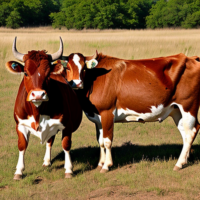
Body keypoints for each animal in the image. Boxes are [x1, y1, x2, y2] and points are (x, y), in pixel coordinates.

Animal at [5, 37, 82, 180]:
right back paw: (46, 161)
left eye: (48, 74)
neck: (38, 111)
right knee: (49, 140)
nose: (38, 94)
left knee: (50, 140)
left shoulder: (66, 124)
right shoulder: (20, 124)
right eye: (26, 72)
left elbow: (66, 144)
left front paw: (69, 169)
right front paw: (18, 171)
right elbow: (22, 145)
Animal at [55, 51, 200, 173]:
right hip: (176, 110)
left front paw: (106, 165)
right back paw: (185, 159)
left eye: (84, 68)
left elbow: (107, 141)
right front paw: (100, 163)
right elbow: (100, 140)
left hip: (188, 106)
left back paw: (179, 163)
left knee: (191, 132)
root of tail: (190, 58)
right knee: (186, 133)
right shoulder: (98, 118)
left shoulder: (107, 113)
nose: (77, 83)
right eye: (68, 68)